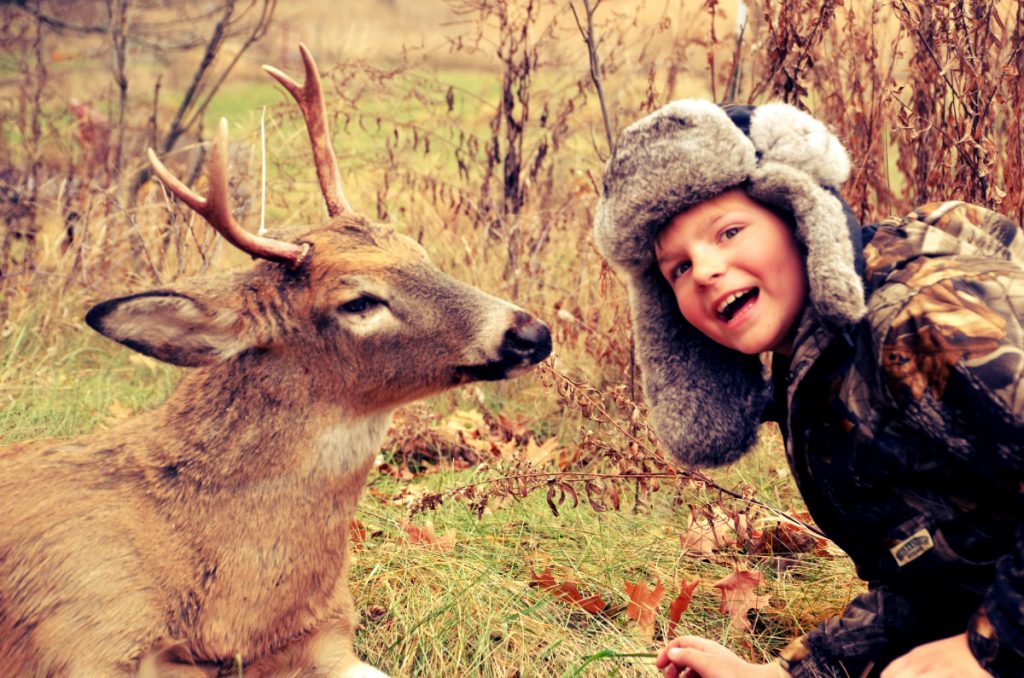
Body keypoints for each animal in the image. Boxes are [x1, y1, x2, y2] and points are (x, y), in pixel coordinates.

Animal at [0, 45, 552, 675]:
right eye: (359, 301)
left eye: (420, 252)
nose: (531, 332)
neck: (241, 616)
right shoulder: (81, 629)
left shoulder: (330, 634)